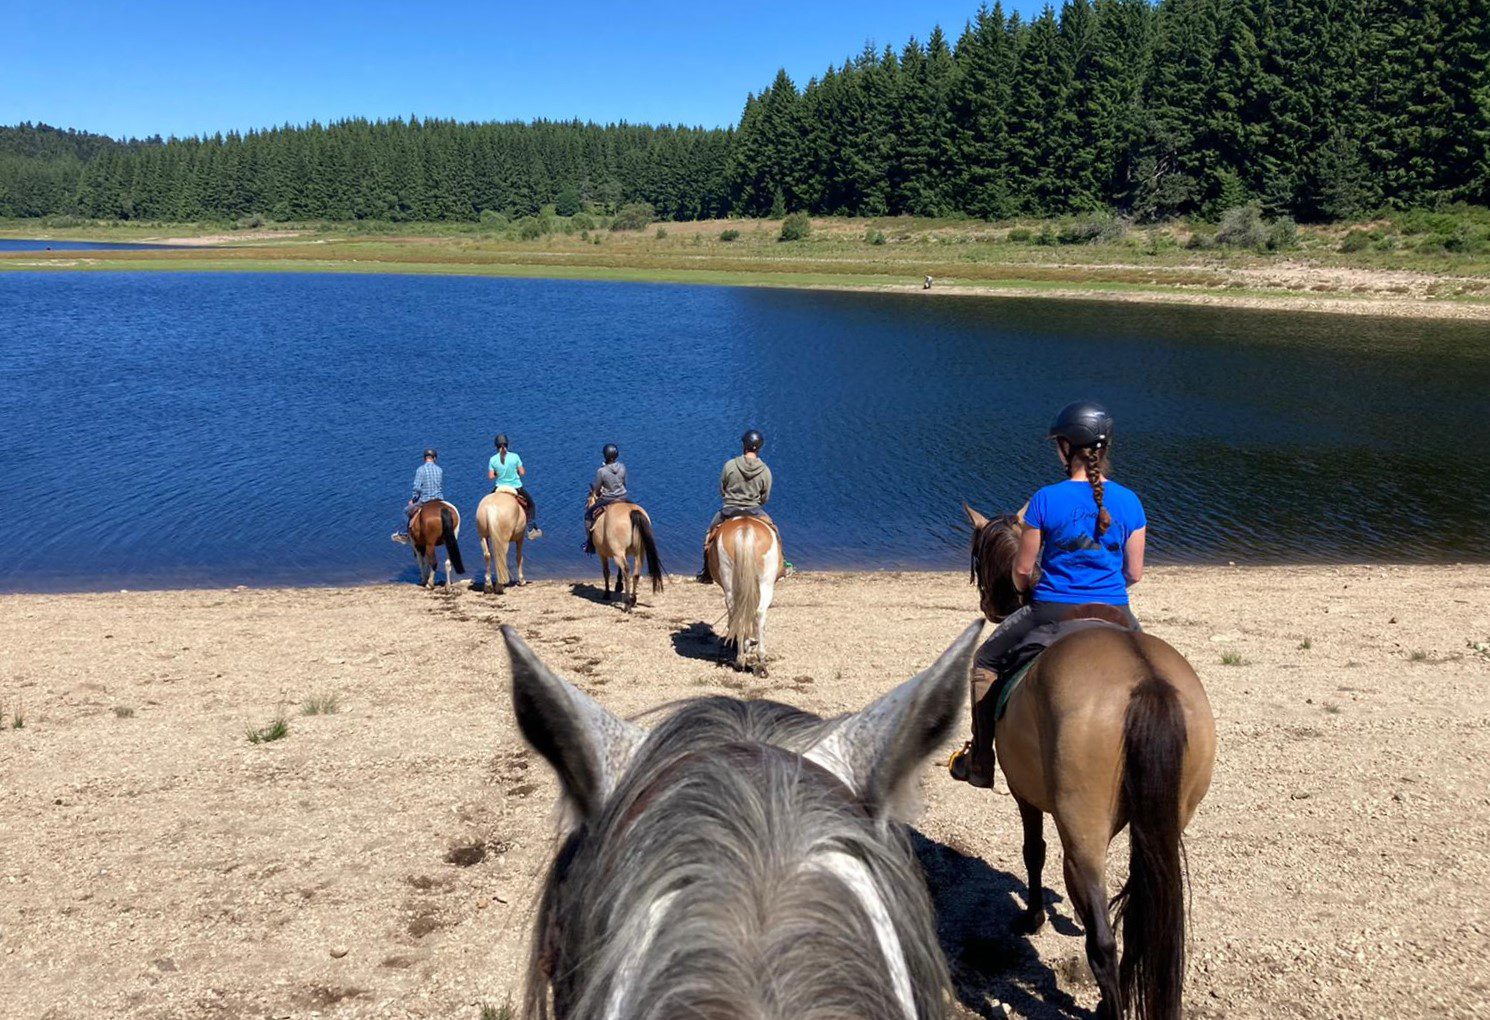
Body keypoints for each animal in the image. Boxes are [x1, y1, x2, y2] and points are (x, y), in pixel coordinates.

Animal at [706, 518, 780, 676]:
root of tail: (745, 528)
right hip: (766, 584)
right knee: (758, 613)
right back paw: (757, 659)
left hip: (731, 584)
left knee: (739, 613)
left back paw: (743, 659)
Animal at [959, 503, 1215, 1018]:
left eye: (978, 559)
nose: (989, 608)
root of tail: (1145, 679)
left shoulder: (1025, 795)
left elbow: (1033, 852)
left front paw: (1033, 917)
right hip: (1164, 823)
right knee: (1136, 920)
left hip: (1082, 835)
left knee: (1102, 940)